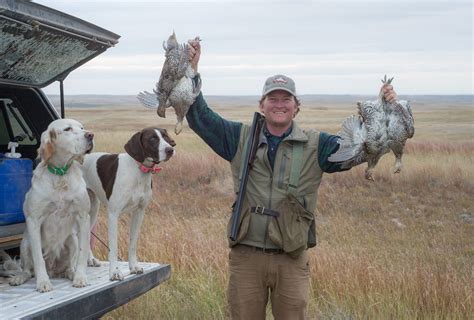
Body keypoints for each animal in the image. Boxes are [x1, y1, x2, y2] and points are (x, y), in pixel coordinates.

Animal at [9, 118, 94, 292]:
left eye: (82, 127)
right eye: (67, 129)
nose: (91, 135)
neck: (60, 174)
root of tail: (53, 270)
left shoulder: (83, 217)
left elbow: (82, 255)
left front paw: (80, 277)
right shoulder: (34, 220)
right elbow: (38, 258)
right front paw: (43, 282)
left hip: (72, 240)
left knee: (69, 266)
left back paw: (71, 273)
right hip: (25, 242)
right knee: (27, 270)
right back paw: (19, 277)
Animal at [82, 126, 176, 282]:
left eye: (165, 137)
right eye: (152, 139)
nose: (170, 150)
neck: (138, 171)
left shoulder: (139, 213)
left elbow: (133, 243)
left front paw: (134, 266)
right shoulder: (113, 214)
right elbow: (113, 247)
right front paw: (114, 272)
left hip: (93, 208)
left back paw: (90, 259)